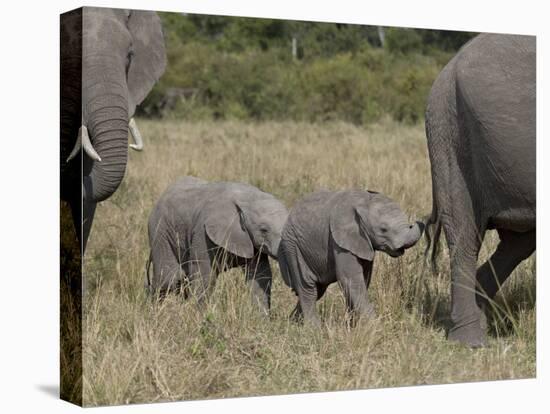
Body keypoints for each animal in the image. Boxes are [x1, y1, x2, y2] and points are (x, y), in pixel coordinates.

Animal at [149, 175, 292, 314]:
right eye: (264, 230)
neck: (247, 199)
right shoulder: (202, 233)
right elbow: (205, 275)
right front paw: (197, 316)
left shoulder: (252, 242)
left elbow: (260, 275)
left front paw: (261, 318)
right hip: (161, 233)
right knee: (169, 279)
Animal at [280, 189, 426, 326]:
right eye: (383, 229)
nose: (420, 220)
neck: (365, 201)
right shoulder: (340, 242)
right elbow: (350, 280)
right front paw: (375, 326)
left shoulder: (363, 243)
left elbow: (363, 279)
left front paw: (352, 325)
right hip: (293, 247)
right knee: (307, 287)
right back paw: (314, 329)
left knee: (318, 289)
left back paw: (292, 322)